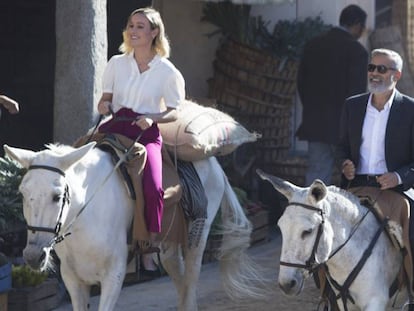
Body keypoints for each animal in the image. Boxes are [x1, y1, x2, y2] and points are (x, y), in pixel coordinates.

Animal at [4, 143, 268, 310]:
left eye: (57, 196)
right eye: (23, 193)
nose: (33, 256)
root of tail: (213, 162)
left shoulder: (113, 275)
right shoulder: (73, 279)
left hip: (198, 236)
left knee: (191, 280)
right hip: (169, 246)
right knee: (180, 279)